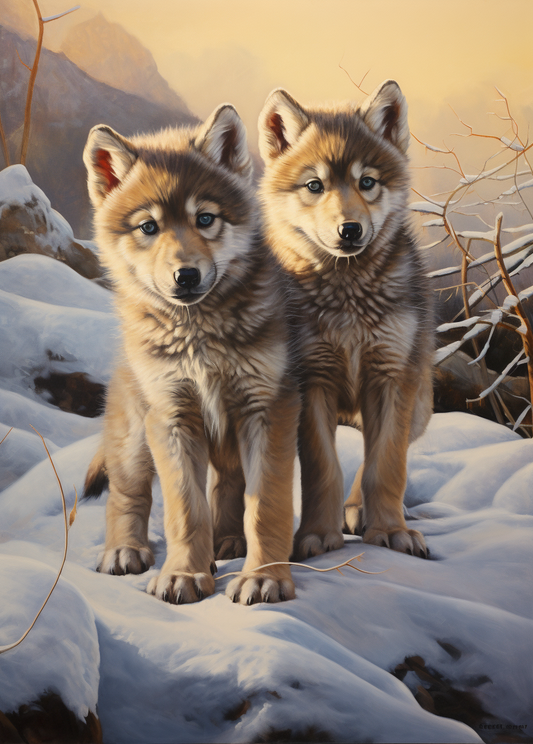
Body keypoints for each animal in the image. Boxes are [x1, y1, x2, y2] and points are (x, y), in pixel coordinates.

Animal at [82, 104, 300, 605]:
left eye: (205, 219)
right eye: (149, 227)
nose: (186, 275)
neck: (199, 334)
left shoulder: (267, 411)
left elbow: (266, 506)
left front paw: (264, 578)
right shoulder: (172, 417)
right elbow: (184, 509)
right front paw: (183, 574)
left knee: (229, 488)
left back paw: (228, 541)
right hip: (134, 438)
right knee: (127, 495)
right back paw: (124, 551)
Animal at [258, 80, 433, 561]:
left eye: (366, 182)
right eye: (315, 186)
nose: (349, 230)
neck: (348, 294)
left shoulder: (392, 380)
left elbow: (386, 466)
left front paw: (390, 530)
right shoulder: (311, 382)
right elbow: (322, 470)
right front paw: (317, 535)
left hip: (418, 406)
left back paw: (359, 512)